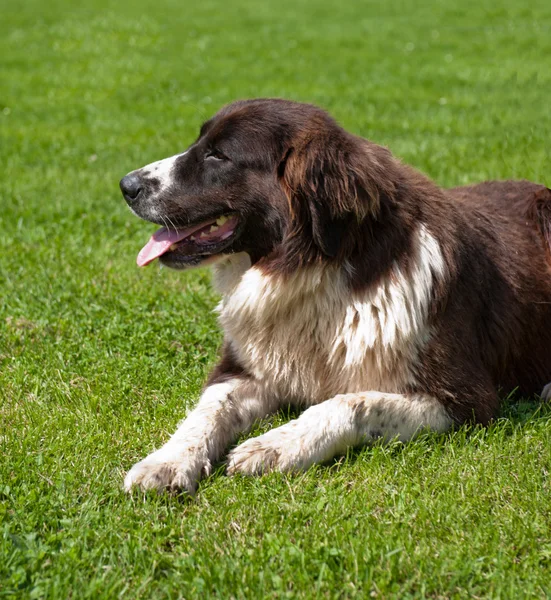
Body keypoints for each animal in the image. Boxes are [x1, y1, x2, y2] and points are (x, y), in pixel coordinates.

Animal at [119, 97, 551, 492]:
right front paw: (167, 461)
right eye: (200, 142)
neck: (315, 271)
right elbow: (207, 411)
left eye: (218, 155)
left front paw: (277, 445)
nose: (127, 186)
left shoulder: (465, 397)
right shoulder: (246, 367)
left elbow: (353, 402)